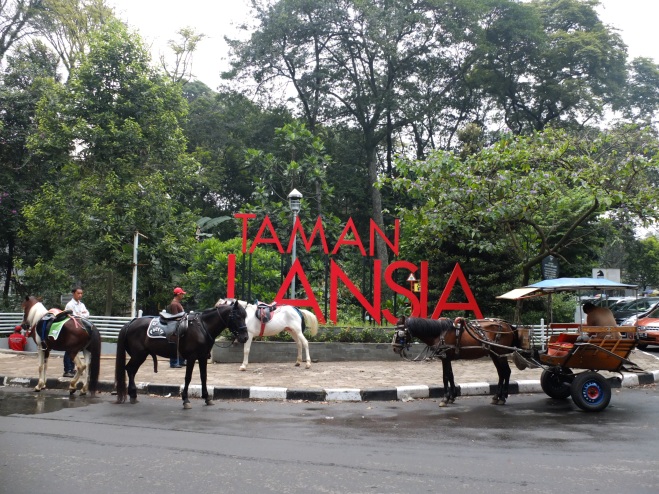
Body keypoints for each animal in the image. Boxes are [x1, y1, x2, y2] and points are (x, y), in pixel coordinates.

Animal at [114, 302, 249, 410]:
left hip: (140, 355)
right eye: (237, 316)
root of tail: (131, 323)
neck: (202, 327)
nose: (245, 337)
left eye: (245, 316)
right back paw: (132, 394)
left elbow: (203, 377)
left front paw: (207, 398)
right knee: (130, 369)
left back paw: (133, 394)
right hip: (138, 355)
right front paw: (185, 400)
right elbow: (188, 378)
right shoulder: (191, 357)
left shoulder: (202, 357)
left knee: (131, 370)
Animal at [392, 316, 520, 406]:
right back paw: (496, 397)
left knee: (506, 372)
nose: (394, 347)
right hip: (495, 354)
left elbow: (445, 376)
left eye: (400, 332)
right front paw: (452, 396)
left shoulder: (445, 358)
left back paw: (502, 397)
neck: (439, 333)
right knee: (501, 373)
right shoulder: (447, 358)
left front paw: (445, 398)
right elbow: (451, 375)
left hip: (501, 354)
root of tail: (508, 326)